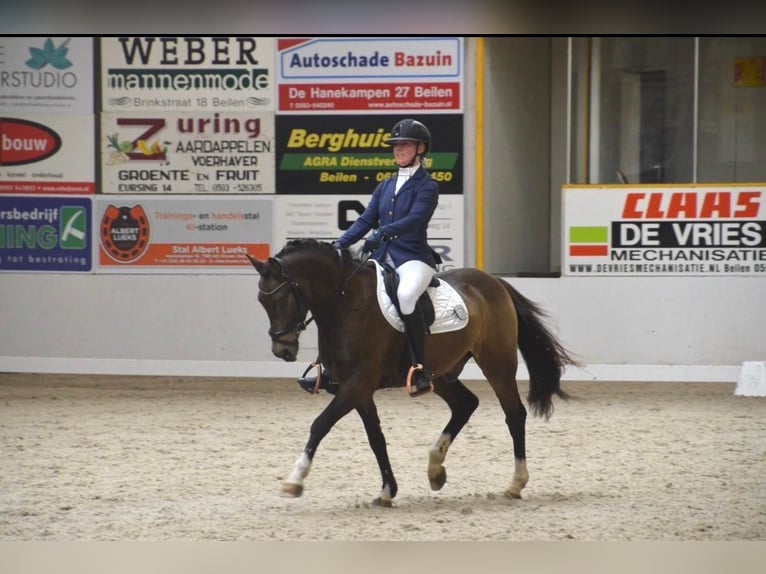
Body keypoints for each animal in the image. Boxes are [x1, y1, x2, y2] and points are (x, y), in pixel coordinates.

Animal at [246, 239, 578, 506]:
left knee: (514, 414)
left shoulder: (358, 383)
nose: (283, 350)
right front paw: (386, 491)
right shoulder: (357, 389)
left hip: (497, 362)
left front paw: (294, 480)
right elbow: (376, 438)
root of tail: (494, 282)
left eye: (281, 298)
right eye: (261, 301)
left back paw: (515, 484)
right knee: (465, 404)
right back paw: (435, 469)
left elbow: (320, 424)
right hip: (442, 373)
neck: (346, 303)